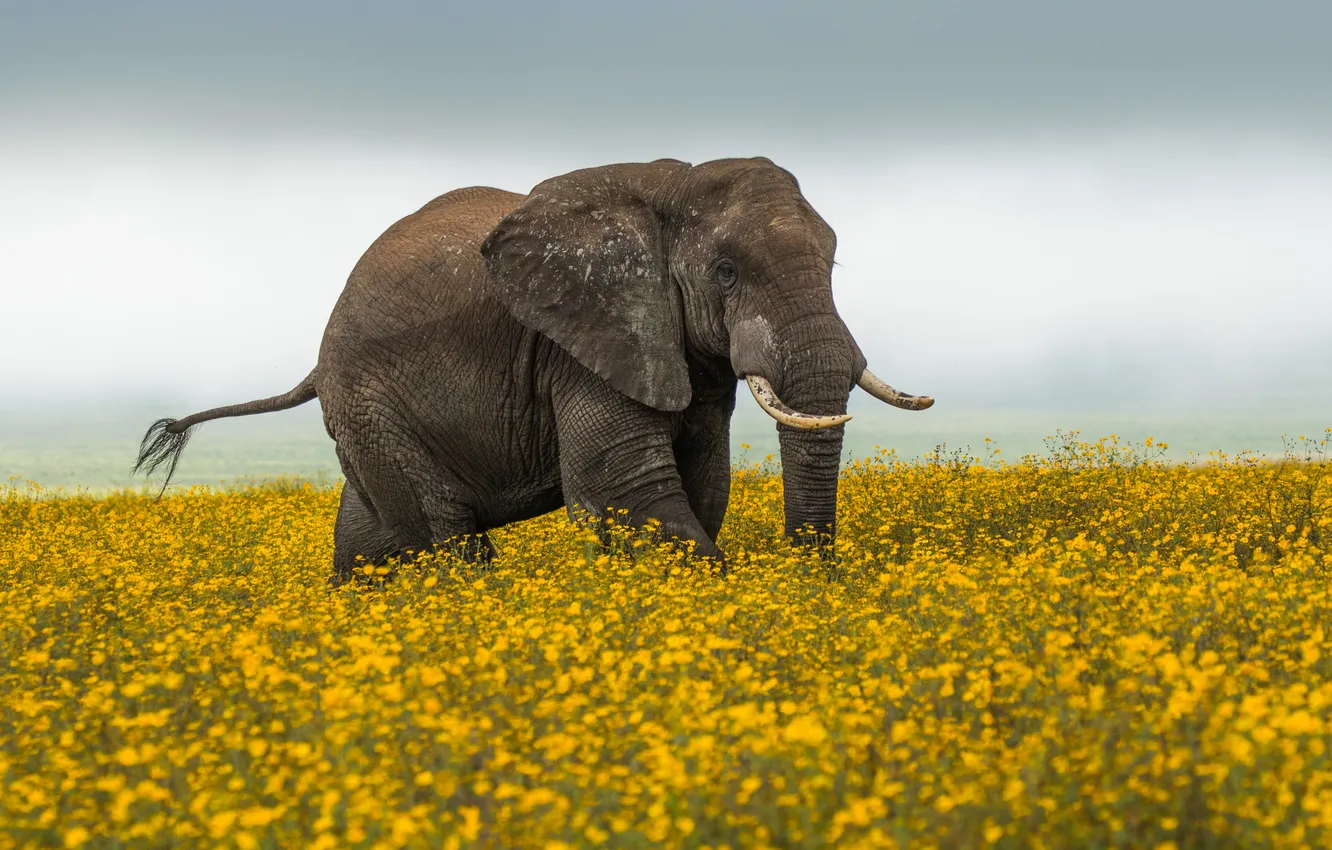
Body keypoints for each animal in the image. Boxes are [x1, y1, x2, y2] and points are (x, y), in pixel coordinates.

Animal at [135, 157, 933, 582]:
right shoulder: (579, 342)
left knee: (373, 538)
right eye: (727, 272)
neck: (669, 189)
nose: (812, 578)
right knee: (441, 531)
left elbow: (704, 477)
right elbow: (623, 485)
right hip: (367, 398)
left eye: (834, 264)